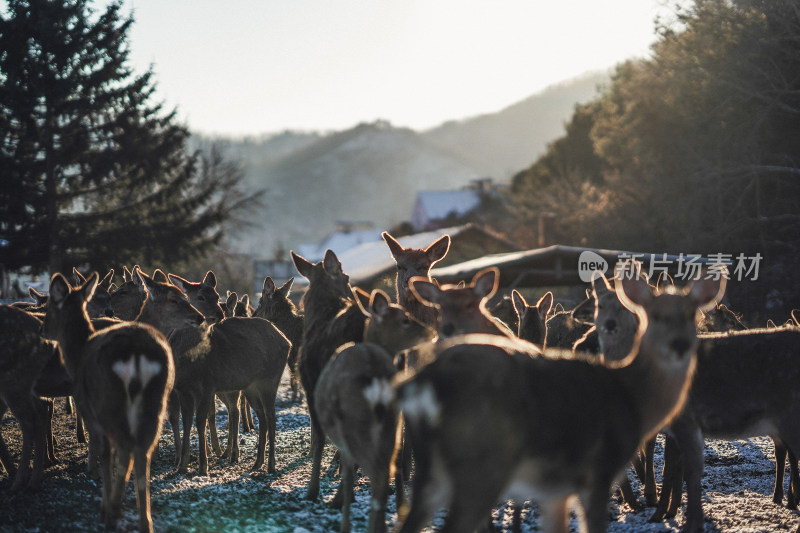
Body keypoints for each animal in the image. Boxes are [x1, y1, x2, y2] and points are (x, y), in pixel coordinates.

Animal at [39, 270, 200, 532]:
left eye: (51, 308)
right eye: (175, 299)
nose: (199, 316)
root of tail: (136, 355)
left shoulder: (91, 409)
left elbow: (106, 454)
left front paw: (105, 500)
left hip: (110, 403)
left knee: (124, 449)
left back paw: (112, 511)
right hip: (153, 404)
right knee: (141, 451)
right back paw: (143, 519)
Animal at [314, 288, 438, 532]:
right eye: (405, 320)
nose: (431, 330)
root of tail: (376, 382)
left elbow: (348, 475)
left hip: (354, 424)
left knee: (377, 474)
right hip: (392, 423)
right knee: (387, 469)